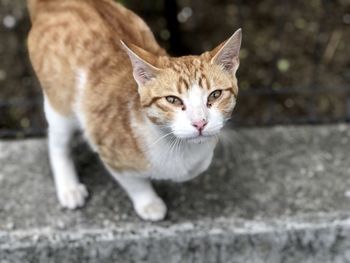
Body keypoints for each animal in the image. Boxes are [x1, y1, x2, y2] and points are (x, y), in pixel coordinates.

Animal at [27, 0, 242, 223]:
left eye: (215, 95)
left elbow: (198, 166)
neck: (178, 147)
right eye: (172, 100)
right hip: (60, 107)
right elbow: (134, 183)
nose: (200, 123)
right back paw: (69, 187)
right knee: (57, 143)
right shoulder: (109, 153)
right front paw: (148, 203)